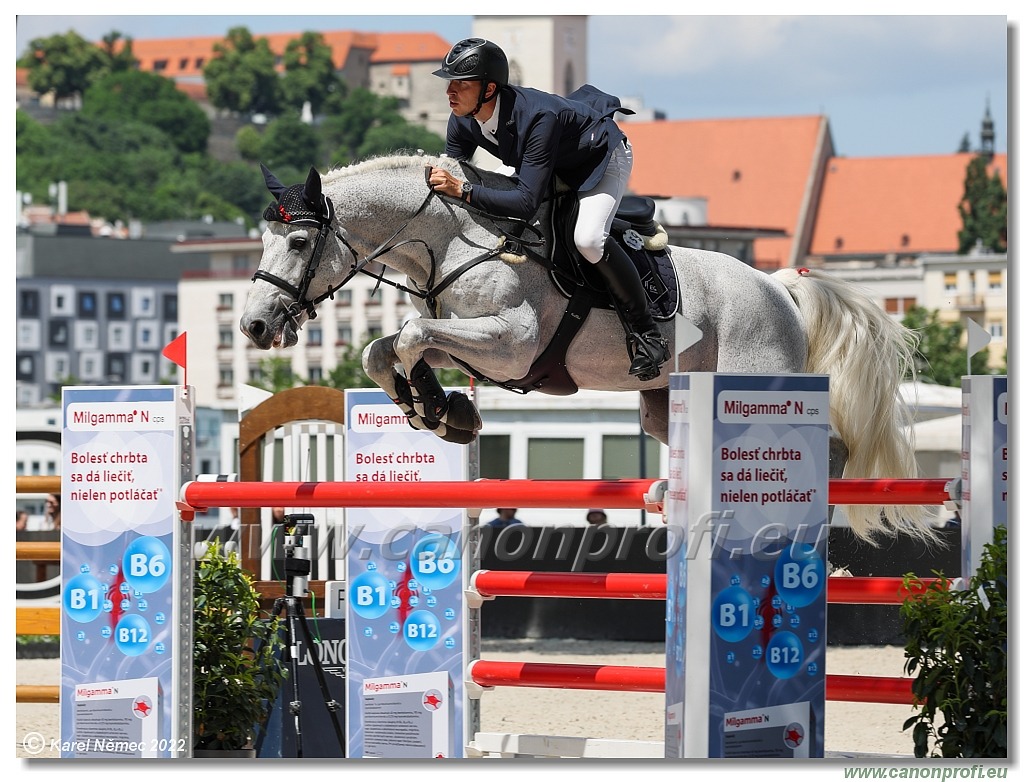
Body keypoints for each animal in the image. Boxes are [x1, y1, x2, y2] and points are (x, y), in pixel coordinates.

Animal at [237, 153, 929, 544]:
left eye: (298, 244)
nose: (254, 327)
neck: (454, 236)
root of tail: (778, 287)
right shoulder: (467, 343)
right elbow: (386, 350)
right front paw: (440, 411)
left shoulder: (511, 343)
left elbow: (407, 337)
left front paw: (436, 409)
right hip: (665, 402)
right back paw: (667, 496)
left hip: (757, 389)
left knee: (827, 448)